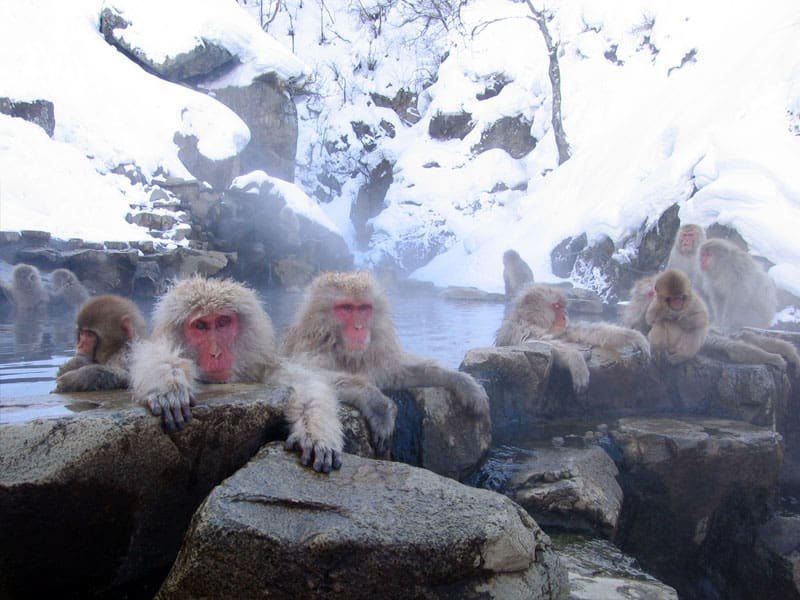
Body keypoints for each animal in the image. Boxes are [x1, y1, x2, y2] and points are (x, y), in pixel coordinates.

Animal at [130, 278, 342, 474]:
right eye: (200, 325)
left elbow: (307, 383)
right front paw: (169, 385)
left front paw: (315, 434)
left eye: (223, 323)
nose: (216, 353)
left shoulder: (263, 369)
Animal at [494, 282, 648, 392]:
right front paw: (574, 358)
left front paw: (635, 336)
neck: (533, 321)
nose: (564, 316)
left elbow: (586, 332)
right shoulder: (520, 329)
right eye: (556, 306)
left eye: (562, 307)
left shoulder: (563, 330)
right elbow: (533, 341)